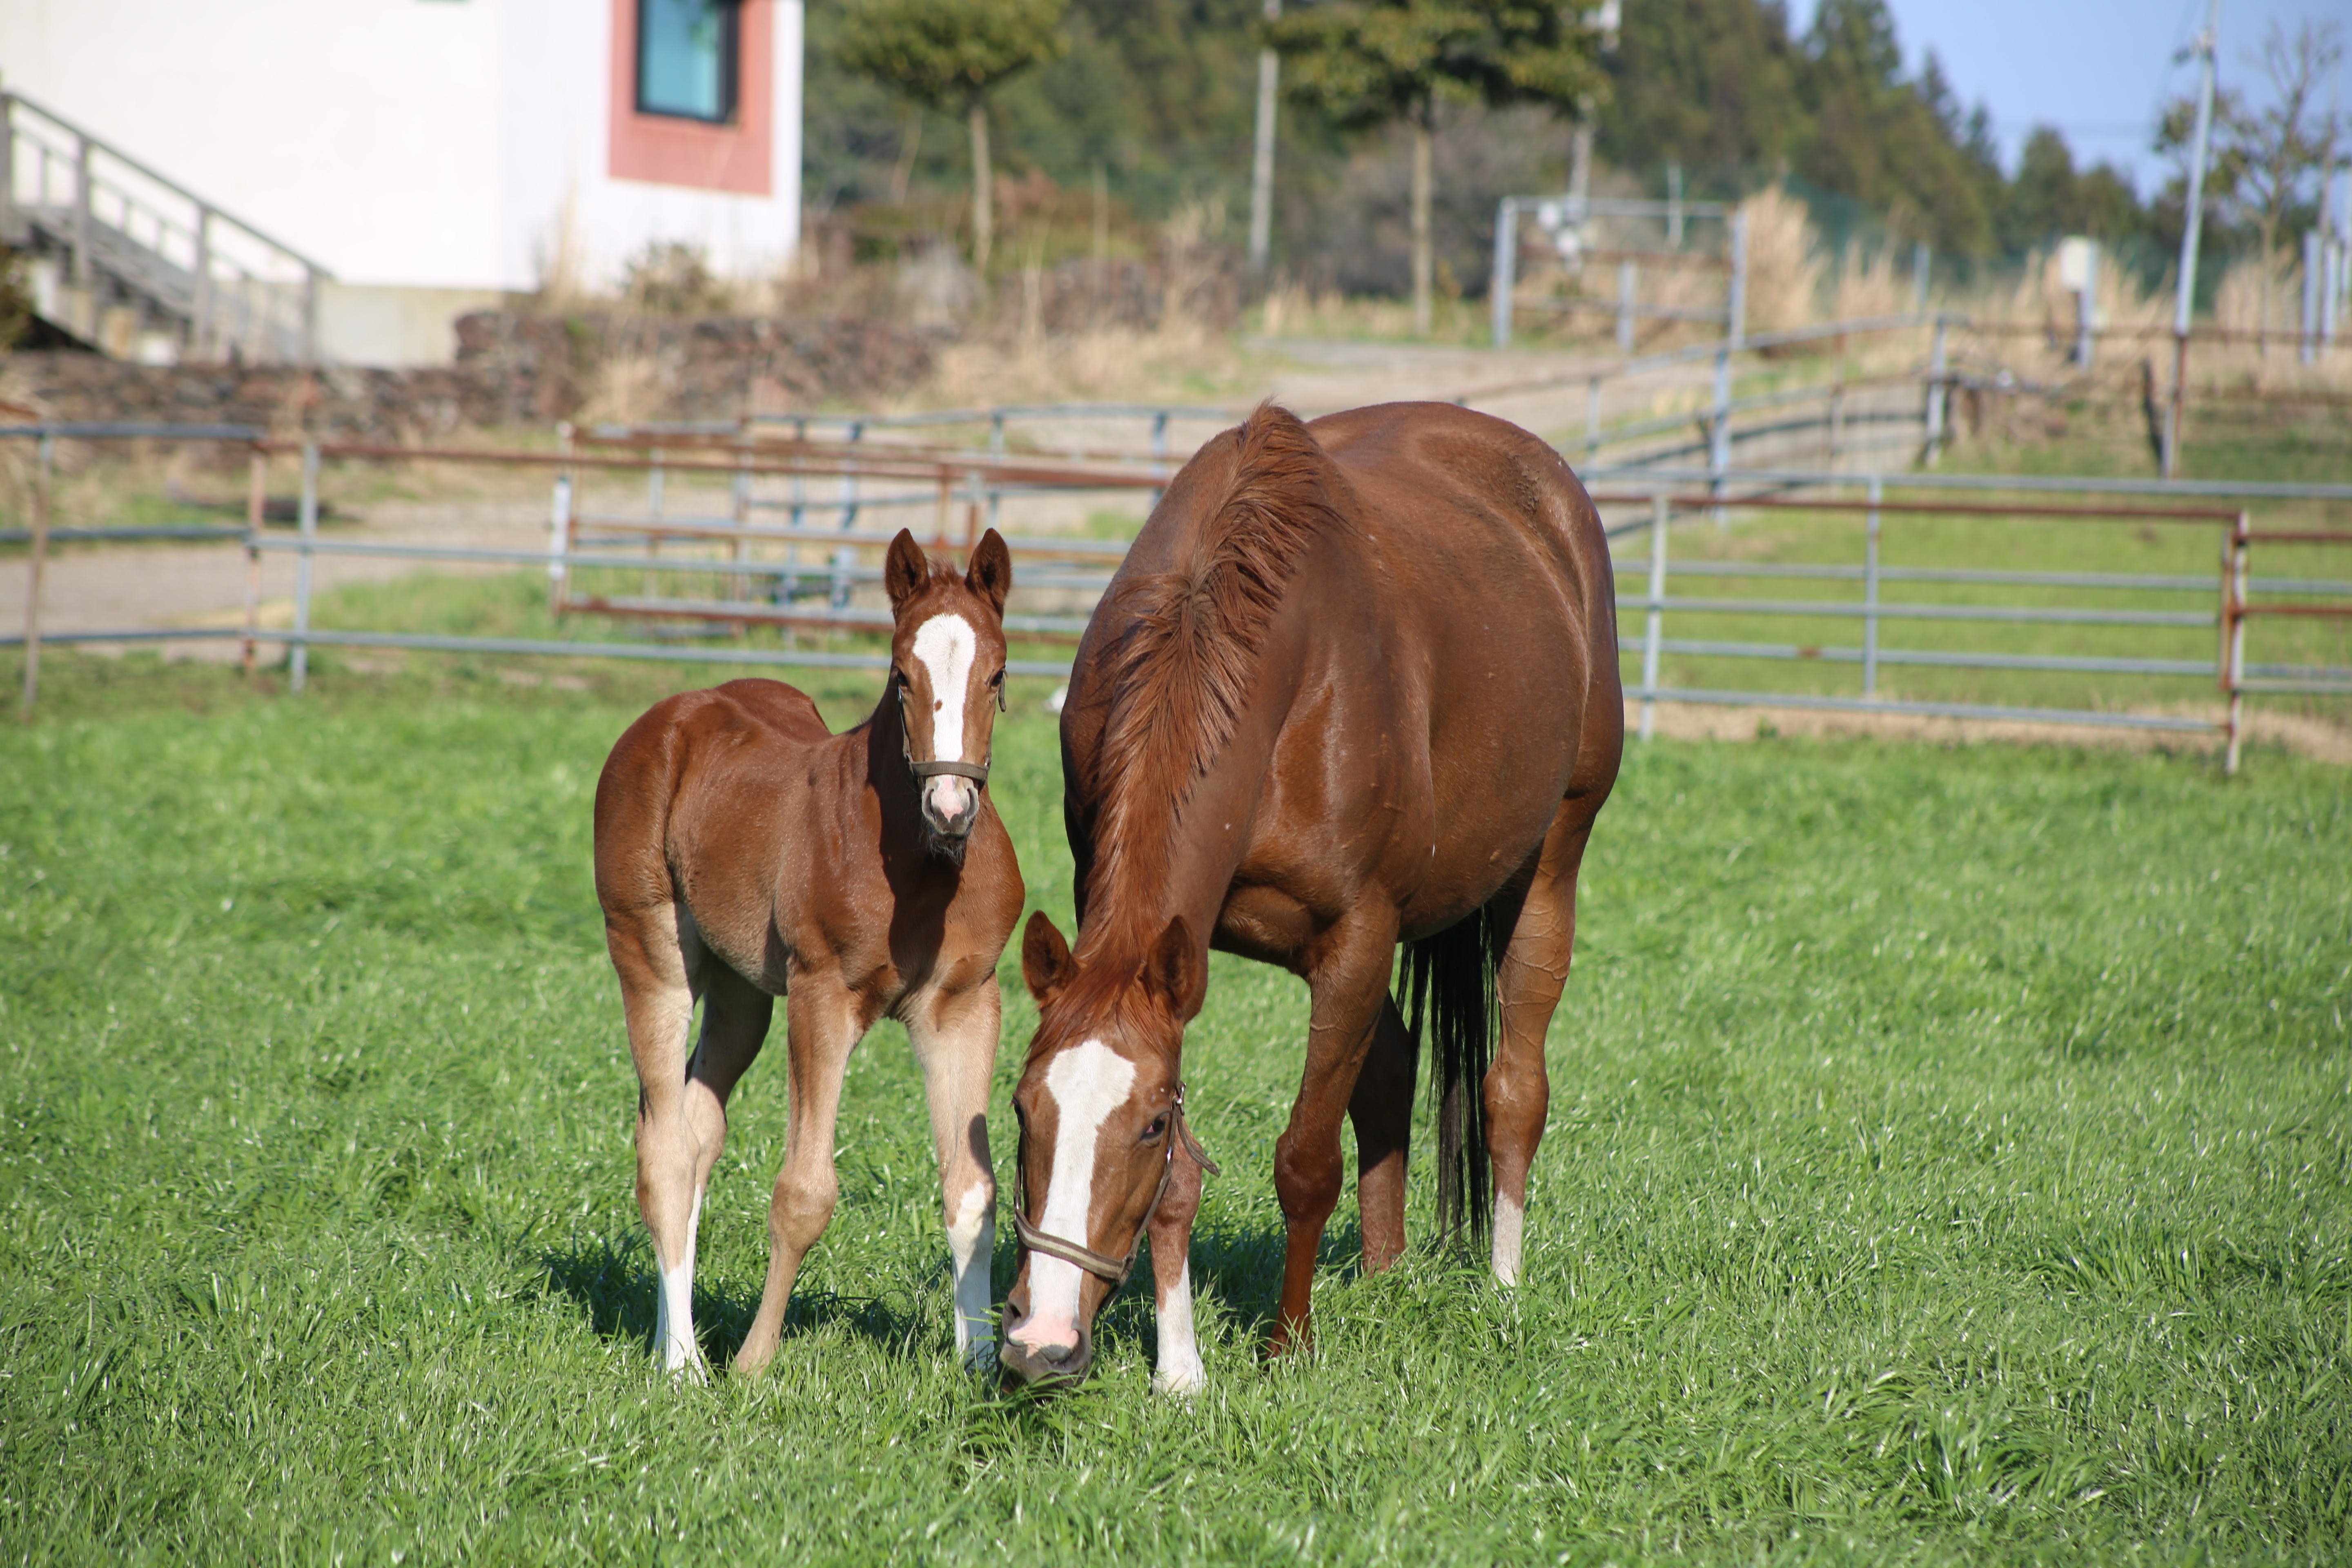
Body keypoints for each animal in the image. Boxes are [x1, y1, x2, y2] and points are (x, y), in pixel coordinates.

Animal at [592, 526, 1025, 1373]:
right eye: (901, 675)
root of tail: (673, 715)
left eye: (997, 674)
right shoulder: (823, 995)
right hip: (651, 956)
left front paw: (984, 1365)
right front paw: (755, 1365)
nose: (951, 808)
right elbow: (804, 1192)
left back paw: (669, 1338)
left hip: (742, 993)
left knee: (697, 1130)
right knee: (664, 1147)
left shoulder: (963, 1005)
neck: (922, 866)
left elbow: (972, 1190)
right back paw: (683, 1365)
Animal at [1002, 409, 1627, 1401]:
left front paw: (1287, 1345)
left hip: (1550, 863)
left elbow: (1303, 1160)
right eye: (1026, 1110)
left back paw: (1501, 1289)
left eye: (1144, 1126)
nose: (1042, 1341)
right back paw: (1382, 1274)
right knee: (1393, 1073)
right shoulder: (1168, 947)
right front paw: (1181, 1370)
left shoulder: (1358, 936)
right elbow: (1188, 1181)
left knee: (1513, 1091)